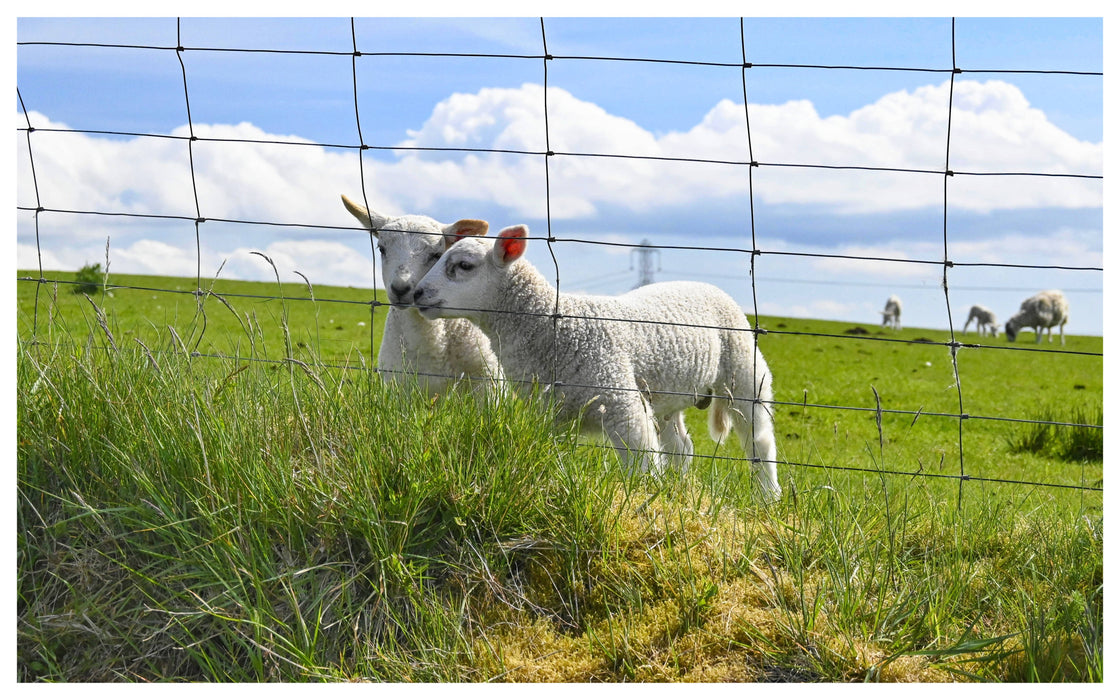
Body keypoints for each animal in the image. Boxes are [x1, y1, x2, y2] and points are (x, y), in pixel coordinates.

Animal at [407, 220, 784, 499]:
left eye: (463, 266)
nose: (416, 293)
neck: (551, 326)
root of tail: (704, 285)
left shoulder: (620, 401)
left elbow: (642, 461)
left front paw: (644, 501)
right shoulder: (548, 411)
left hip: (744, 371)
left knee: (759, 440)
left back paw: (768, 497)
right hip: (667, 394)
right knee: (681, 447)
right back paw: (679, 489)